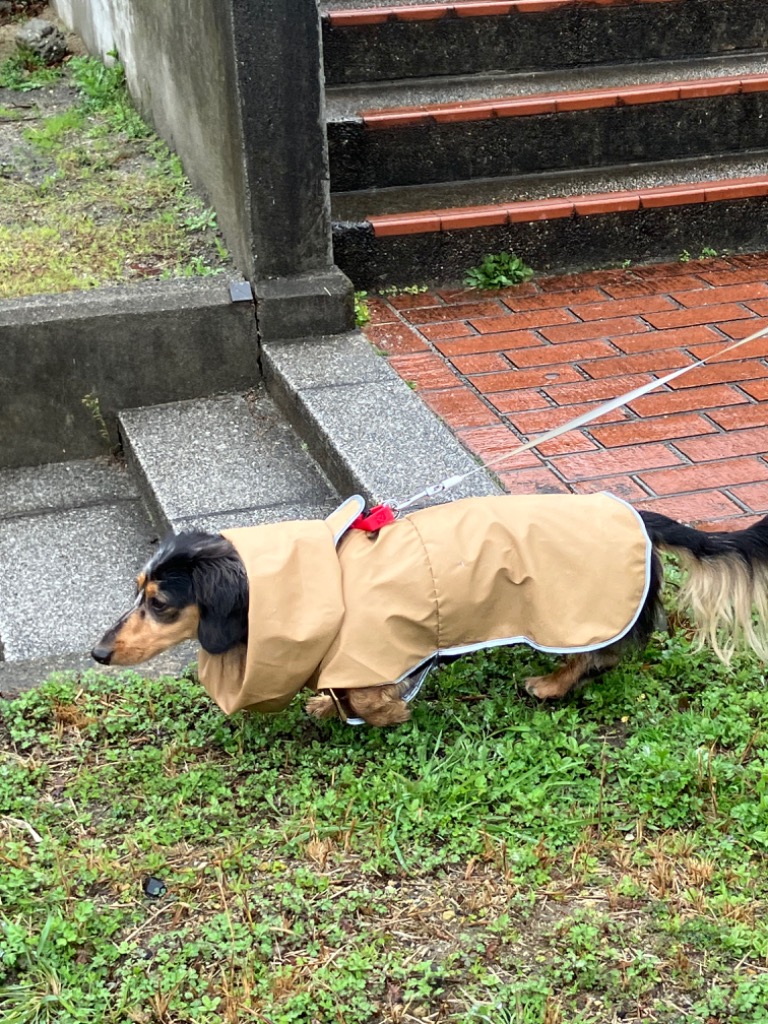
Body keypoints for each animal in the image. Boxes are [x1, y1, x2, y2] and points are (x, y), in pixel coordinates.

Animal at [93, 507, 768, 724]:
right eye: (136, 591)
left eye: (159, 603)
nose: (98, 653)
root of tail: (639, 515)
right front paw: (324, 705)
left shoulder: (383, 643)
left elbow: (371, 696)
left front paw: (388, 712)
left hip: (580, 616)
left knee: (598, 659)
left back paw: (550, 683)